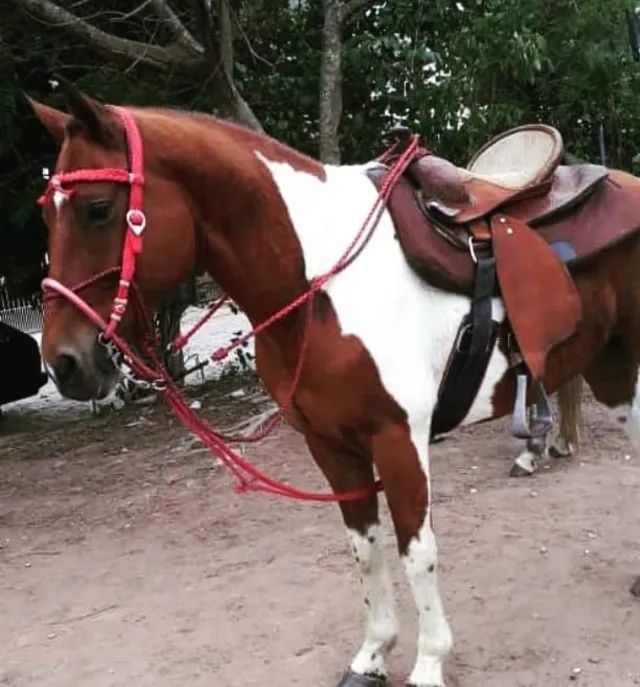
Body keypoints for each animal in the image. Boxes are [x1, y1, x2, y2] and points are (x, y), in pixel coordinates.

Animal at [28, 85, 640, 687]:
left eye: (98, 208)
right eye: (45, 216)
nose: (64, 363)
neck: (319, 282)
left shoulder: (398, 441)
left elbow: (417, 551)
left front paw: (429, 662)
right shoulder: (331, 446)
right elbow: (365, 550)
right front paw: (371, 658)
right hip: (613, 373)